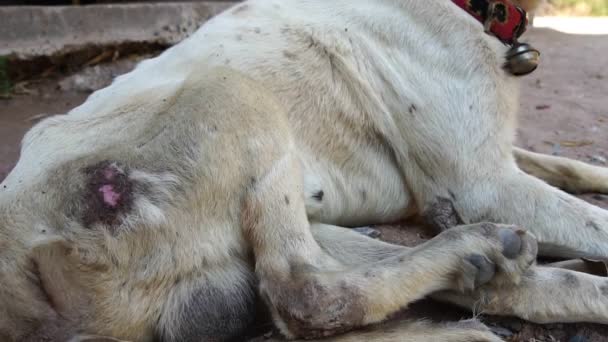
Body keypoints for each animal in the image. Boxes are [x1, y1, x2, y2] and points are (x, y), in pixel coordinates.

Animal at [1, 0, 608, 340]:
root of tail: (18, 281)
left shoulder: (499, 160)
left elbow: (565, 165)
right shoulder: (483, 184)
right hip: (236, 92)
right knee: (304, 296)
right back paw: (475, 258)